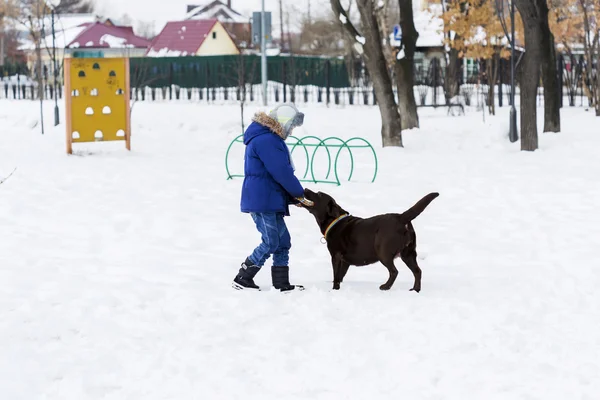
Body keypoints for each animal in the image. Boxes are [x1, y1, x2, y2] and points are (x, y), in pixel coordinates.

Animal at [302, 189, 438, 292]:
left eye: (319, 194)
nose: (305, 189)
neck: (334, 221)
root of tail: (401, 217)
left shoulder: (336, 256)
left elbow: (336, 275)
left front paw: (335, 289)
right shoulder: (345, 261)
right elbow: (340, 274)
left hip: (383, 253)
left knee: (394, 271)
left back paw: (385, 287)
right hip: (408, 253)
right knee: (417, 271)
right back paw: (415, 289)